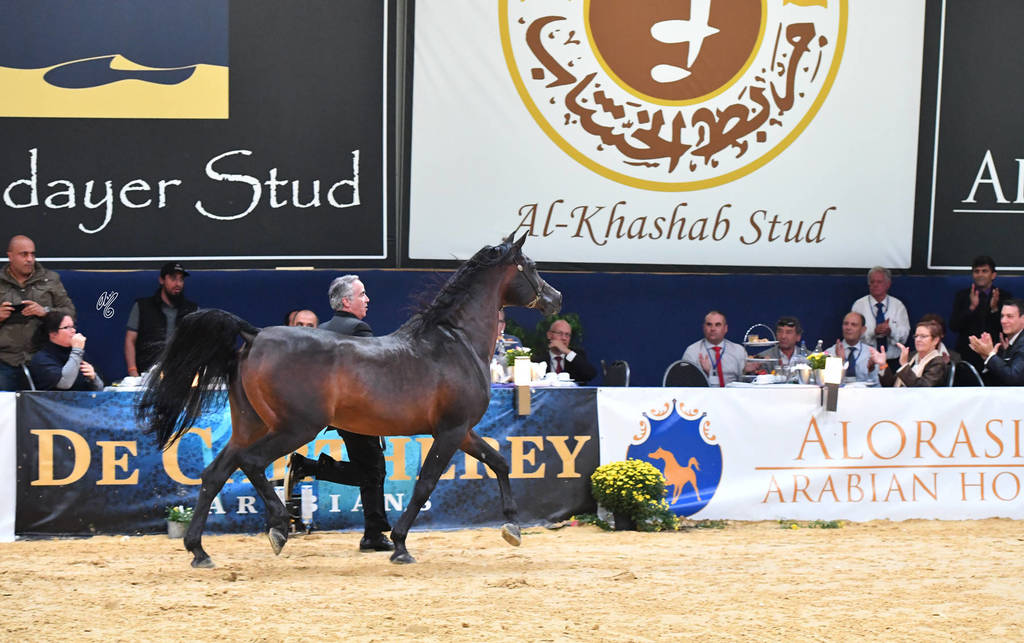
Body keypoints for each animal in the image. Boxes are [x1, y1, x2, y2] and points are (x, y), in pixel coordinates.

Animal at [137, 233, 561, 568]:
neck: (454, 342)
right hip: (295, 428)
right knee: (253, 463)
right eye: (530, 266)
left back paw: (199, 551)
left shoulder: (463, 430)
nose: (556, 298)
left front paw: (512, 526)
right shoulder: (451, 431)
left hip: (250, 425)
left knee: (216, 474)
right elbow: (425, 484)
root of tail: (254, 335)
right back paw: (279, 527)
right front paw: (400, 545)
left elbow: (499, 461)